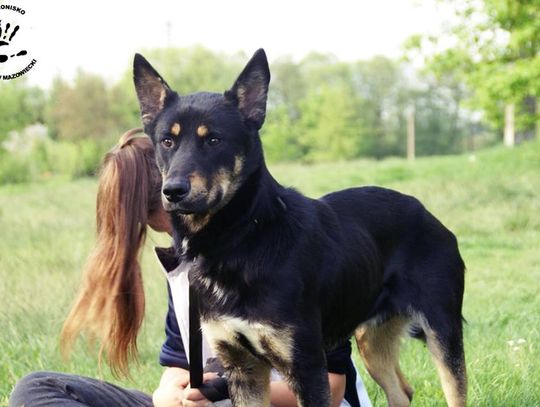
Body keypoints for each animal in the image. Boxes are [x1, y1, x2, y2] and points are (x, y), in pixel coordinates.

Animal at [133, 49, 466, 406]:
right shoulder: (242, 369)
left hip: (443, 332)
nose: (173, 191)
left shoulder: (306, 366)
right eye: (167, 141)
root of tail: (426, 213)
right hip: (372, 339)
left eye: (213, 140)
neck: (242, 238)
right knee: (401, 391)